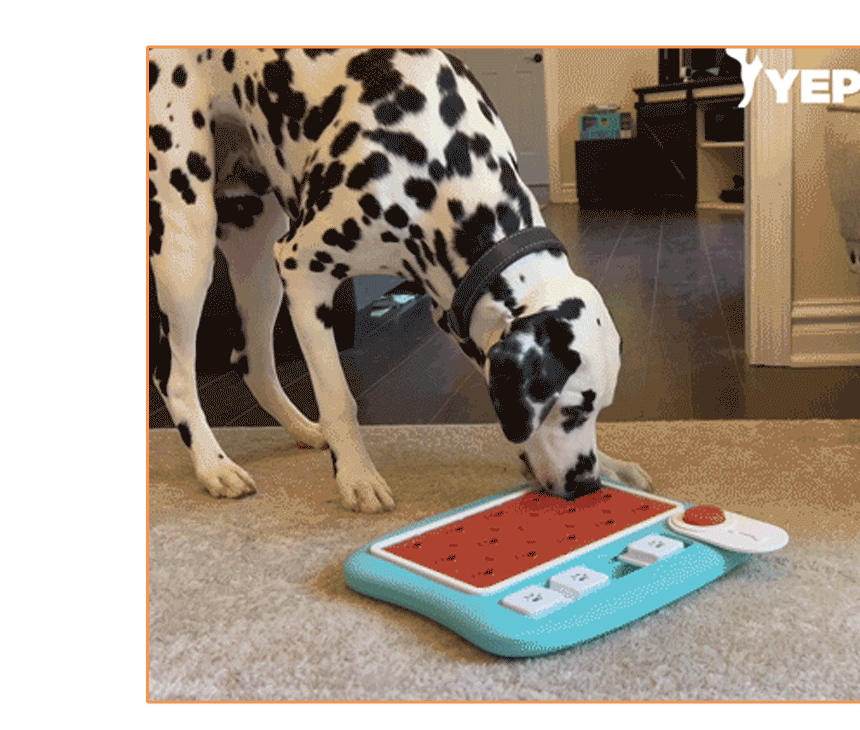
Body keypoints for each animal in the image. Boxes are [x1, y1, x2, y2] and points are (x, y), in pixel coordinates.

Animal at [148, 48, 652, 512]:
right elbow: (338, 399)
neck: (439, 160)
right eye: (569, 410)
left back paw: (301, 429)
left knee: (250, 357)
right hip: (187, 241)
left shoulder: (453, 304)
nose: (587, 485)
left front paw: (611, 463)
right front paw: (356, 475)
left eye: (597, 410)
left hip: (256, 243)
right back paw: (213, 465)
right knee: (173, 374)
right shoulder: (302, 270)